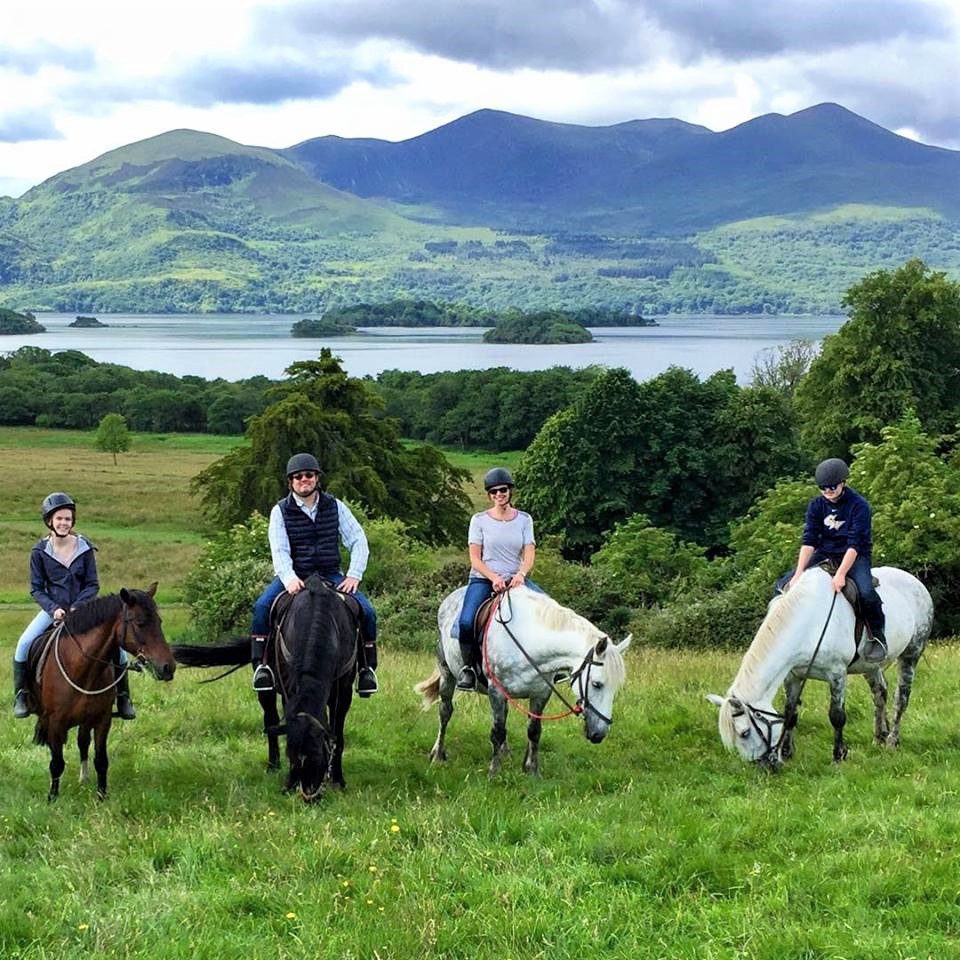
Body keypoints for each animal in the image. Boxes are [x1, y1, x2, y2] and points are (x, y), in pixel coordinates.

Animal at [26, 580, 174, 800]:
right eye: (140, 623)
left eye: (160, 621)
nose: (168, 667)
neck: (81, 667)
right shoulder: (55, 722)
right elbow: (57, 763)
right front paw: (52, 798)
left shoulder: (102, 720)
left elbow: (101, 760)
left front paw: (102, 797)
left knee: (83, 742)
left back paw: (84, 778)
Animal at [172, 572, 356, 800]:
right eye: (291, 754)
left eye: (318, 754)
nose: (307, 798)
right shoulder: (288, 690)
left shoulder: (345, 692)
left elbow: (338, 736)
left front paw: (338, 780)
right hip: (265, 689)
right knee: (270, 719)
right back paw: (272, 765)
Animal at [414, 580, 632, 776]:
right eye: (597, 684)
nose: (599, 734)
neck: (530, 641)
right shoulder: (496, 691)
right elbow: (497, 731)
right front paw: (494, 773)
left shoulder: (541, 692)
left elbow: (534, 730)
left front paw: (531, 770)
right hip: (447, 673)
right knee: (445, 711)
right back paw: (438, 754)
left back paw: (505, 753)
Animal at [704, 568, 928, 768]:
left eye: (745, 733)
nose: (763, 767)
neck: (809, 621)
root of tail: (917, 583)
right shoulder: (792, 676)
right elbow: (790, 713)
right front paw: (788, 752)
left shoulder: (837, 673)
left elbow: (837, 716)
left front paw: (839, 756)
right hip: (870, 666)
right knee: (880, 693)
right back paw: (879, 736)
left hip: (911, 654)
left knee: (901, 698)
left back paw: (892, 740)